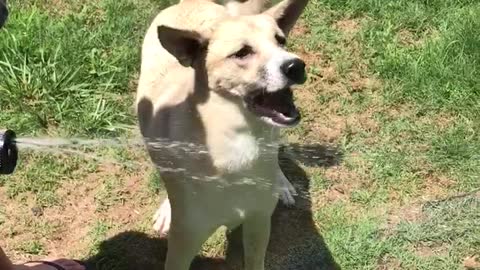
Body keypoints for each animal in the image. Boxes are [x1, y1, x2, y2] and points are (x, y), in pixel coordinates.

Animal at [135, 0, 310, 268]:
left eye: (281, 40)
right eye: (242, 53)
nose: (296, 66)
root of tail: (190, 3)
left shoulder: (258, 222)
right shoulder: (184, 240)